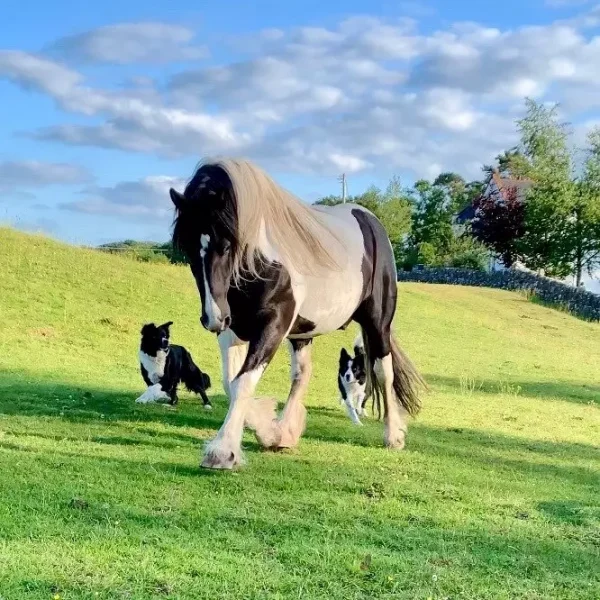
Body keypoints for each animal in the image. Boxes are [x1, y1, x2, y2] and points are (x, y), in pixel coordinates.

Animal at [166, 158, 424, 468]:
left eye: (226, 245)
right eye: (188, 248)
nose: (212, 318)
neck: (260, 261)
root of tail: (371, 222)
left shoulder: (272, 327)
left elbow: (243, 382)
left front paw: (223, 451)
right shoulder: (231, 330)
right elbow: (231, 383)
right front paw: (268, 431)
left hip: (378, 323)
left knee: (383, 372)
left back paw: (393, 436)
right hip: (302, 333)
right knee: (302, 374)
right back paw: (286, 433)